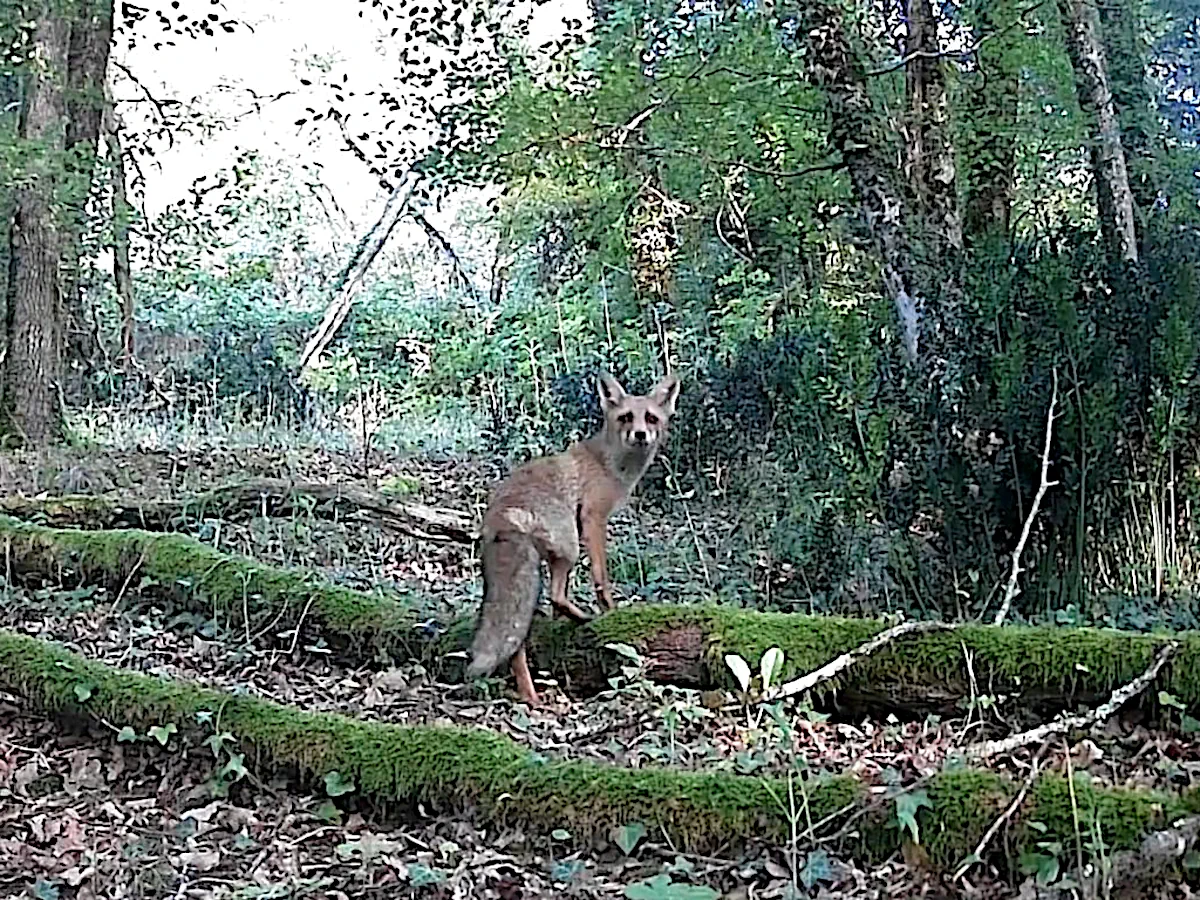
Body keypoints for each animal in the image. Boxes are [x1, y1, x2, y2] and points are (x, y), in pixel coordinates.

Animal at [464, 372, 681, 705]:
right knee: (556, 596)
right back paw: (583, 620)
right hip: (569, 548)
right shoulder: (593, 518)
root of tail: (500, 514)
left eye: (651, 418)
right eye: (626, 417)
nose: (640, 435)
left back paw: (531, 696)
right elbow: (602, 579)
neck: (609, 464)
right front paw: (610, 611)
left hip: (540, 567)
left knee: (517, 641)